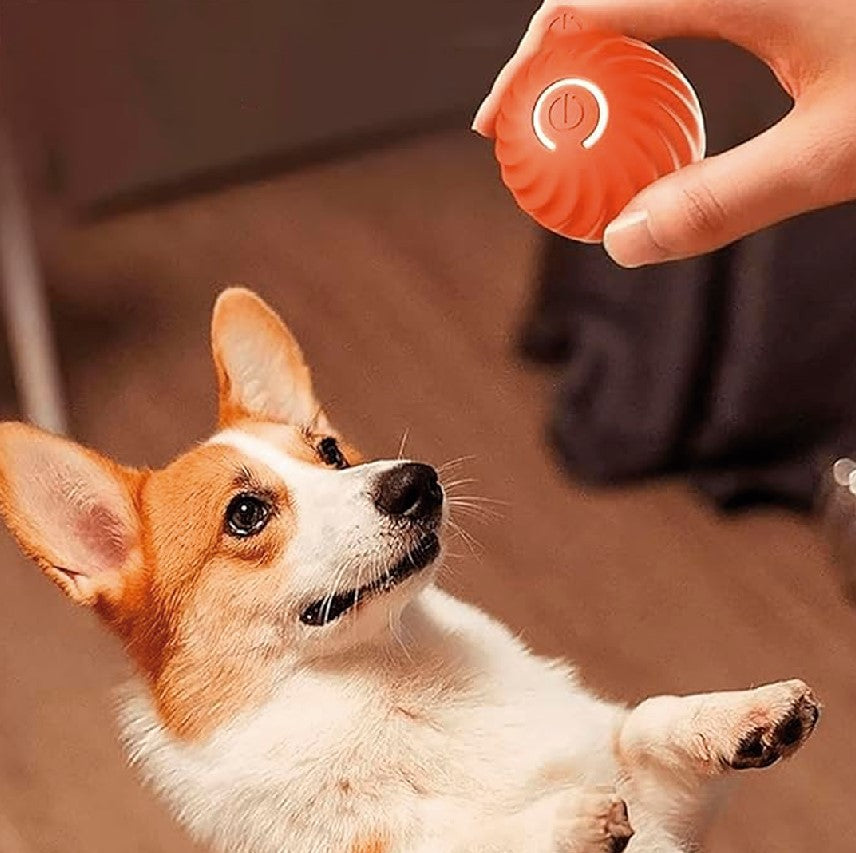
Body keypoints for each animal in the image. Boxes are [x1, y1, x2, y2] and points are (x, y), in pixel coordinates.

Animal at [0, 290, 820, 848]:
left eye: (331, 451)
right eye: (246, 514)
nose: (417, 481)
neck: (399, 684)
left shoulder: (662, 805)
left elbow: (646, 721)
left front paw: (749, 715)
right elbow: (470, 841)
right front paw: (561, 819)